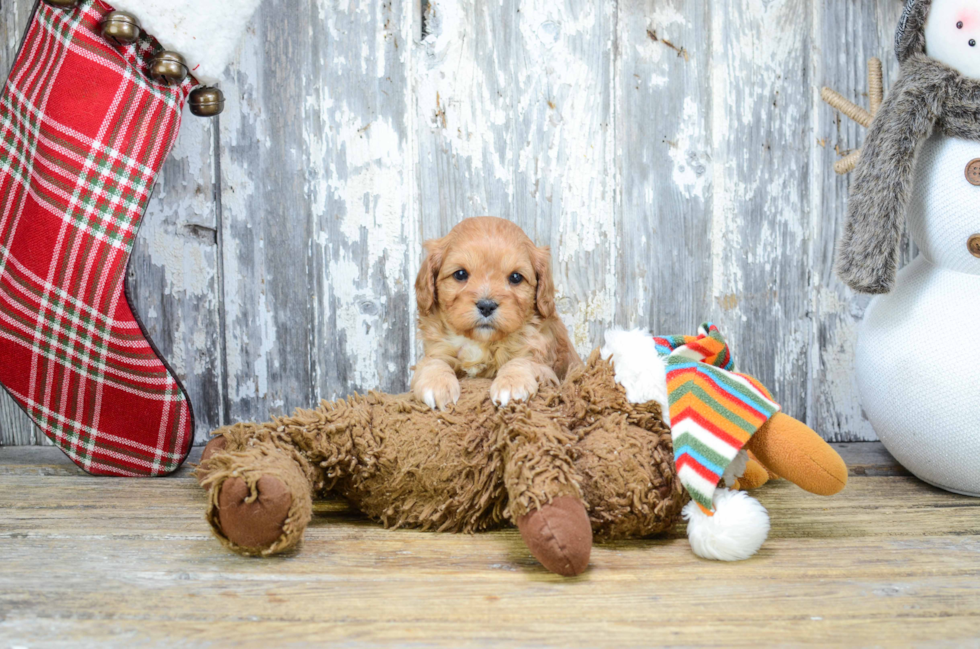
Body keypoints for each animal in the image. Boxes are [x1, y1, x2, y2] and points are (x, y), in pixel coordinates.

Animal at [410, 218, 580, 410]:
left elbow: (522, 362)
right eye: (460, 274)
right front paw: (436, 383)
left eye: (516, 277)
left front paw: (512, 384)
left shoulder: (542, 364)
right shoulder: (438, 349)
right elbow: (433, 362)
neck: (481, 342)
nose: (486, 306)